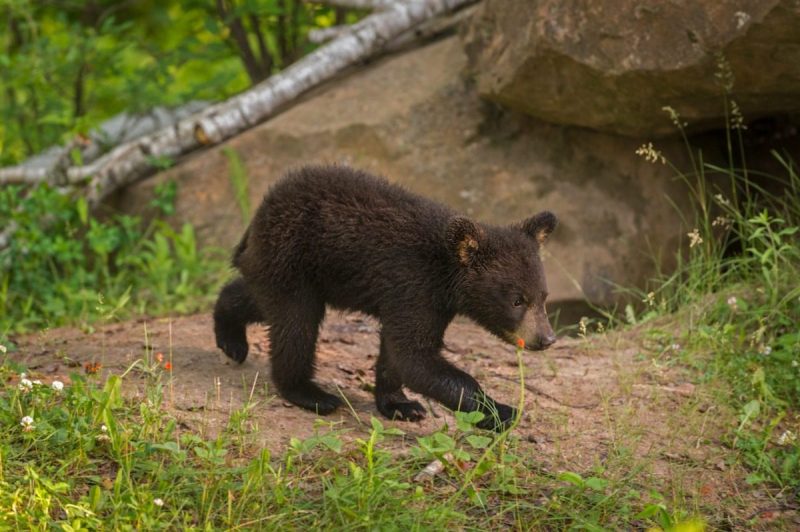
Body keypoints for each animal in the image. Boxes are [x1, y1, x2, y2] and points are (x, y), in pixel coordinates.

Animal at [213, 165, 557, 431]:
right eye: (517, 300)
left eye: (543, 296)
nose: (546, 338)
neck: (445, 274)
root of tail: (260, 211)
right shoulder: (414, 284)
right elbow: (414, 356)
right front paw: (501, 411)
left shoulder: (430, 302)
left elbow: (398, 354)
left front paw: (401, 405)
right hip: (294, 259)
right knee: (296, 325)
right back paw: (310, 393)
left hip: (298, 272)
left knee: (259, 299)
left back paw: (231, 338)